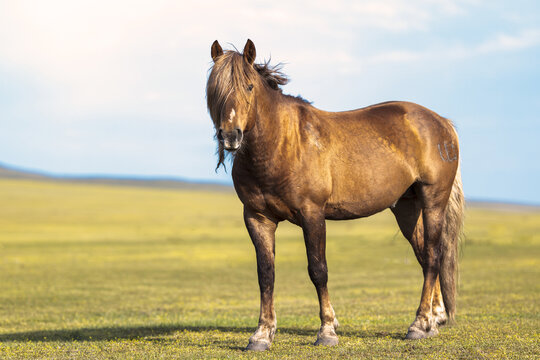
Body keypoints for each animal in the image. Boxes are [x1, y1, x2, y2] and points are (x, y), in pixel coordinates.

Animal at [206, 40, 464, 352]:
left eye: (249, 86)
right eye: (214, 88)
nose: (230, 136)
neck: (280, 144)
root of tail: (442, 123)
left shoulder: (312, 214)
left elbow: (318, 270)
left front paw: (327, 330)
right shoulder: (257, 218)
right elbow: (265, 274)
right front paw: (262, 334)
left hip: (433, 201)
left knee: (434, 255)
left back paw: (419, 323)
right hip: (407, 208)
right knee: (425, 256)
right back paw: (433, 320)